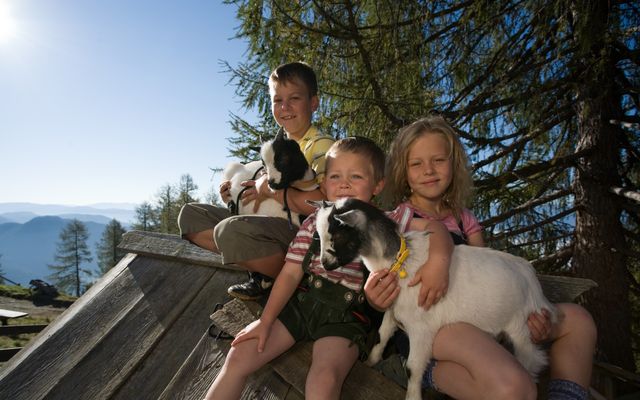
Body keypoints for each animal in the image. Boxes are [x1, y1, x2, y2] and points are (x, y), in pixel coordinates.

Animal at [312, 198, 556, 400]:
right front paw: (371, 362)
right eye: (319, 235)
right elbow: (381, 338)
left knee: (533, 362)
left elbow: (412, 367)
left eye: (338, 235)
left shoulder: (422, 330)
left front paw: (412, 397)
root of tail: (533, 281)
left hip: (522, 330)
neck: (400, 262)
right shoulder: (392, 312)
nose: (326, 264)